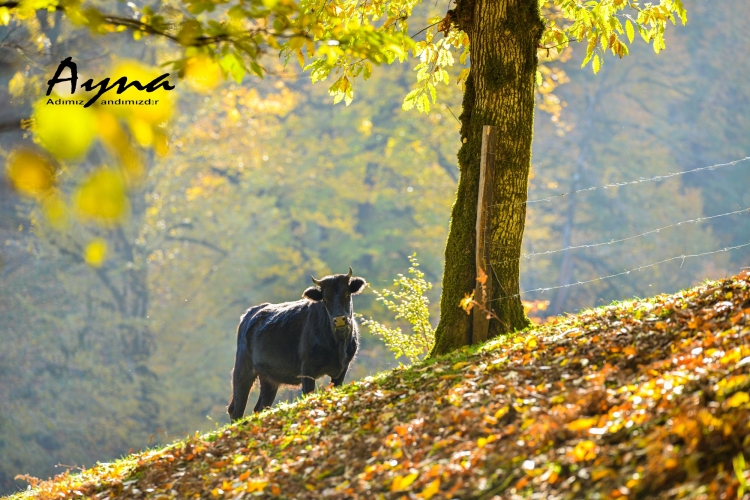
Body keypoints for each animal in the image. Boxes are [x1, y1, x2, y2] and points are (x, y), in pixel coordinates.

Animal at [226, 268, 368, 420]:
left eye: (347, 294)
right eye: (325, 299)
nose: (340, 319)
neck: (338, 344)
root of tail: (249, 314)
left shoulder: (342, 369)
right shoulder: (307, 368)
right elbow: (308, 395)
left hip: (268, 378)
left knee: (261, 406)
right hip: (243, 369)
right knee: (236, 408)